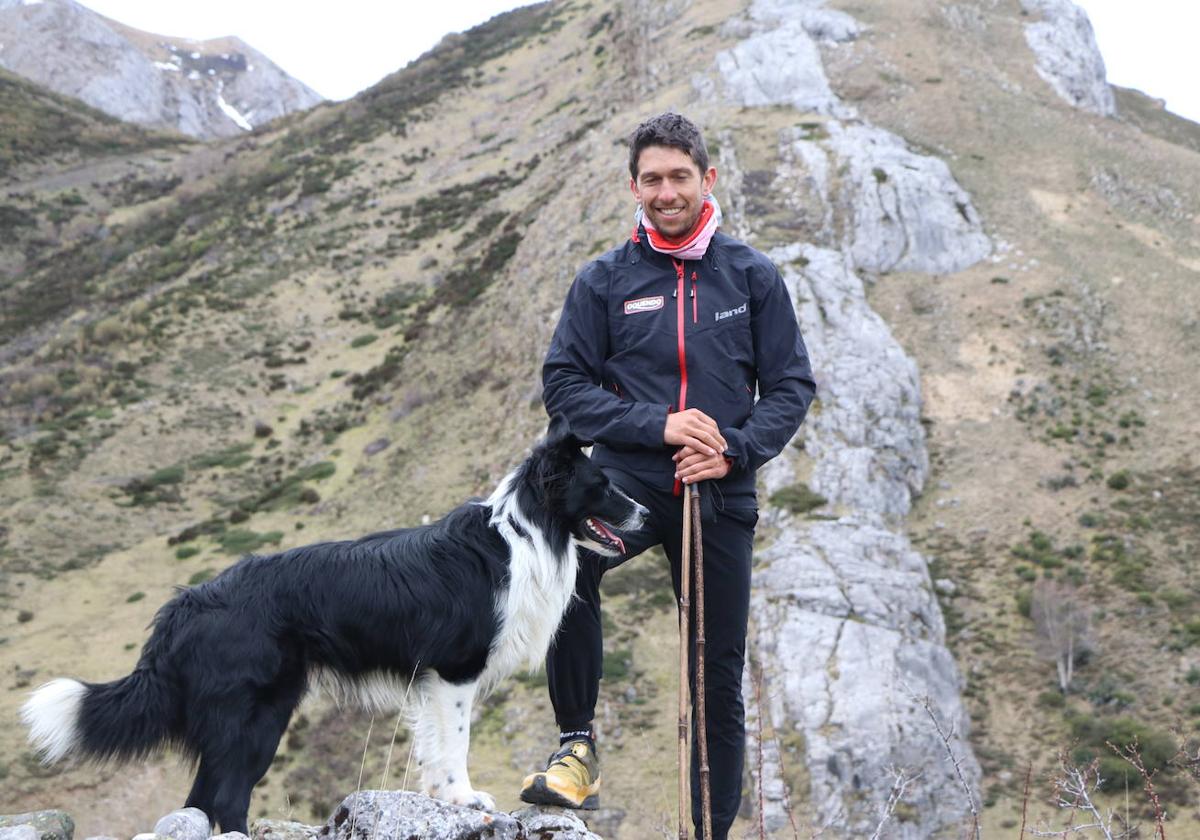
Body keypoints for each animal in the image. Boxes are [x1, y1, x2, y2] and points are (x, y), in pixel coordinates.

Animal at [21, 417, 648, 835]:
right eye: (601, 486)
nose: (645, 512)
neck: (522, 534)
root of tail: (189, 602)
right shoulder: (454, 674)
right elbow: (455, 746)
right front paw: (464, 800)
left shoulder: (431, 682)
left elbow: (433, 749)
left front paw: (444, 798)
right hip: (250, 718)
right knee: (224, 798)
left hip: (259, 717)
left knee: (205, 800)